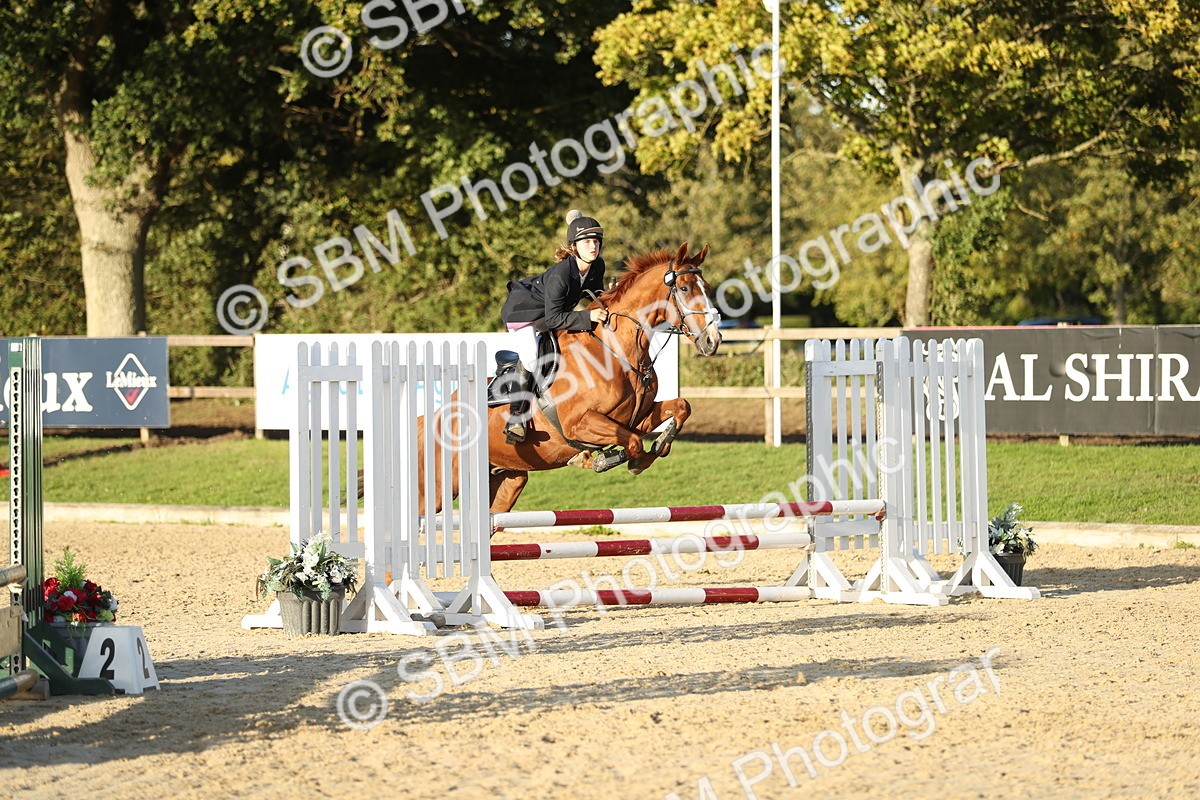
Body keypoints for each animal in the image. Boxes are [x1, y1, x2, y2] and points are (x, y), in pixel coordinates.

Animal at [418, 242, 722, 516]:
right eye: (684, 289)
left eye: (706, 288)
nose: (713, 341)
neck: (616, 350)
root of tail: (433, 418)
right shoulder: (579, 423)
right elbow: (634, 442)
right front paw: (609, 460)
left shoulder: (636, 417)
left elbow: (680, 408)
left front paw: (655, 448)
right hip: (441, 488)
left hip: (508, 480)